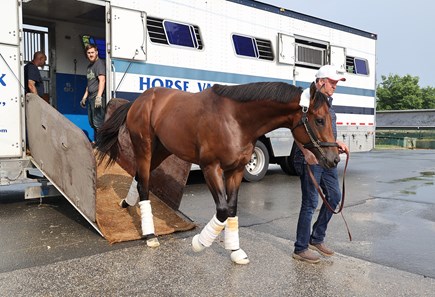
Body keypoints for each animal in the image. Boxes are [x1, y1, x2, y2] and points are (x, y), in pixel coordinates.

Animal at [95, 81, 340, 264]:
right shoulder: (211, 168)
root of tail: (140, 100)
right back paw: (150, 235)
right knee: (144, 183)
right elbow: (222, 210)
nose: (334, 159)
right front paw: (199, 243)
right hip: (144, 147)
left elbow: (231, 208)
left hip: (163, 149)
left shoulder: (236, 170)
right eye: (320, 120)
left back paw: (126, 203)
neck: (235, 119)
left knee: (139, 177)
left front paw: (235, 251)